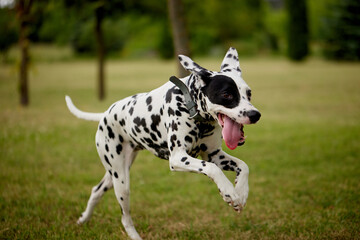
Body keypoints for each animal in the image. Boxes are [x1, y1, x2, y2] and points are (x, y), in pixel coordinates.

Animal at [65, 47, 262, 239]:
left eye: (249, 93)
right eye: (226, 94)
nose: (255, 115)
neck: (189, 105)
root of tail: (106, 113)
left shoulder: (214, 155)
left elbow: (243, 166)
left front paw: (241, 192)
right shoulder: (178, 158)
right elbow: (212, 169)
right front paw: (229, 192)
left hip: (115, 173)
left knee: (96, 191)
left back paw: (83, 219)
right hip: (122, 183)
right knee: (125, 218)